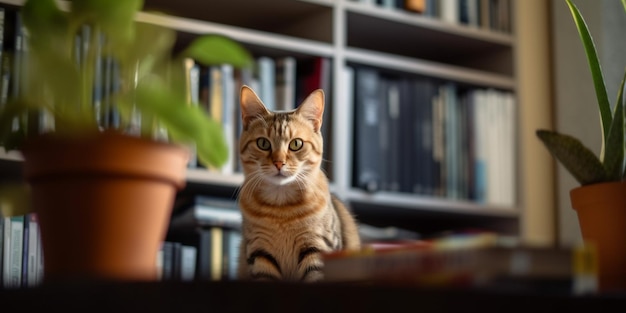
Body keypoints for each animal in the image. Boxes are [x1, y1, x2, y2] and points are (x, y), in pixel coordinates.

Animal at [235, 84, 360, 280]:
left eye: (296, 144)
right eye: (263, 143)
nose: (279, 163)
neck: (281, 210)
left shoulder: (317, 248)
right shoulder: (260, 253)